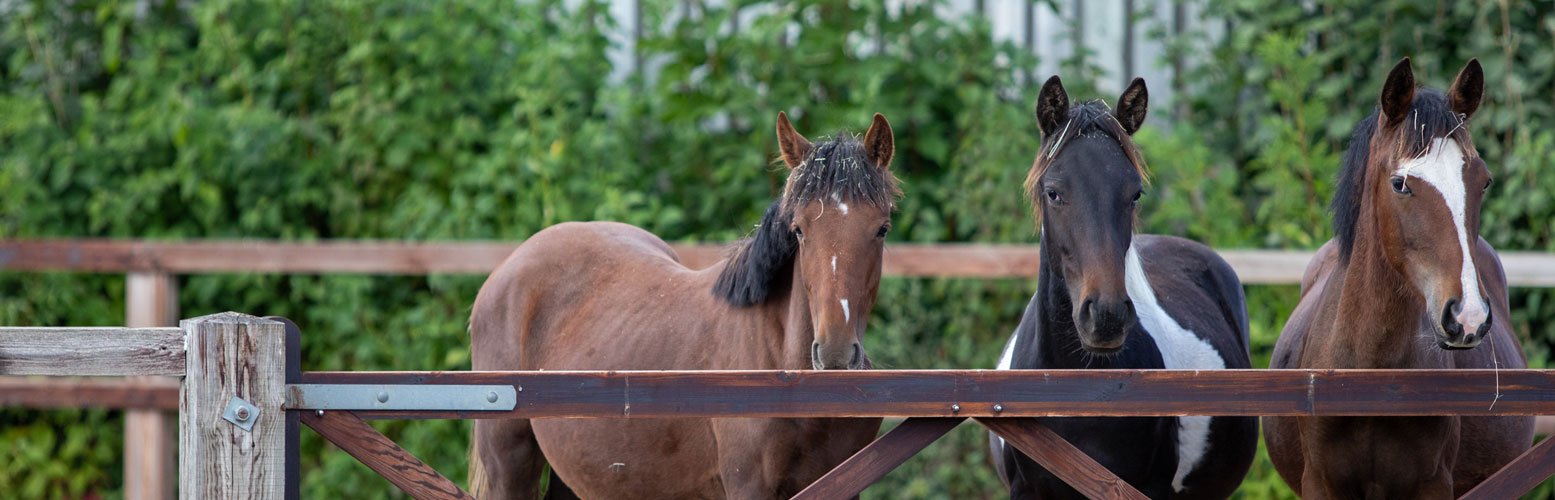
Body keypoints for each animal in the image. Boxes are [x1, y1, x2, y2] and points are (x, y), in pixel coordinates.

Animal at [463, 111, 901, 496]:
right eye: (798, 229)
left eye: (882, 229)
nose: (836, 354)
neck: (782, 374)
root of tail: (509, 266)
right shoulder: (749, 487)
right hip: (509, 467)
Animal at [1268, 57, 1536, 496]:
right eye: (1400, 184)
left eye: (1484, 181)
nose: (1467, 317)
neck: (1374, 379)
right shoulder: (1319, 483)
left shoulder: (1433, 484)